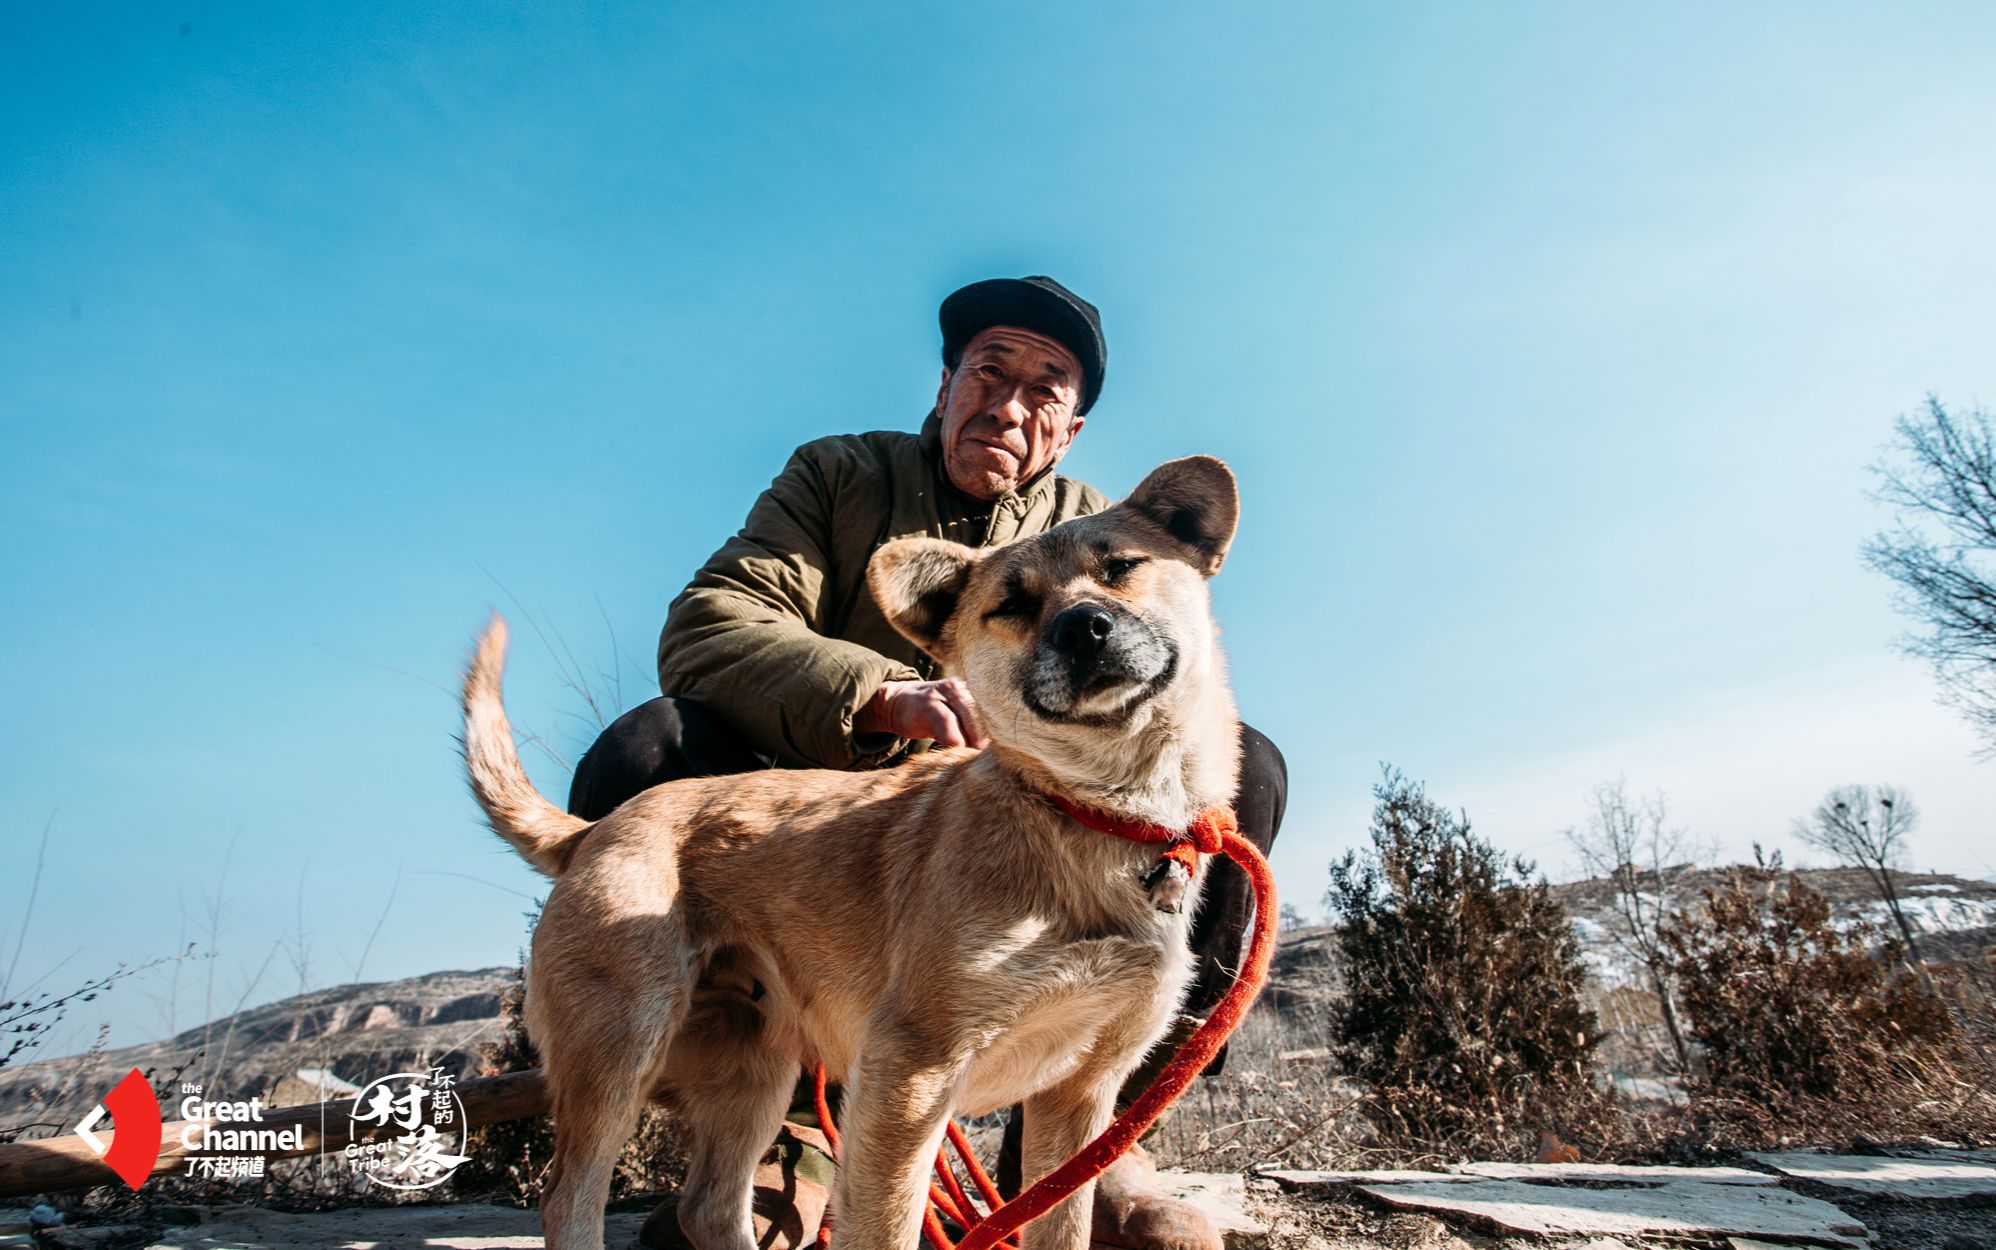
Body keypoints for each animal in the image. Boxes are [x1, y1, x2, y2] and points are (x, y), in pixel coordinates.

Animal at [459, 453, 1237, 1246]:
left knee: (710, 1203)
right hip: (620, 1047)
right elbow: (885, 1227)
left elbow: (1062, 1224)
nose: (1085, 628)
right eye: (1011, 605)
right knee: (570, 1196)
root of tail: (593, 829)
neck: (1101, 813)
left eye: (1121, 567)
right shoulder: (909, 1073)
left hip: (754, 1070)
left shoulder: (1078, 1098)